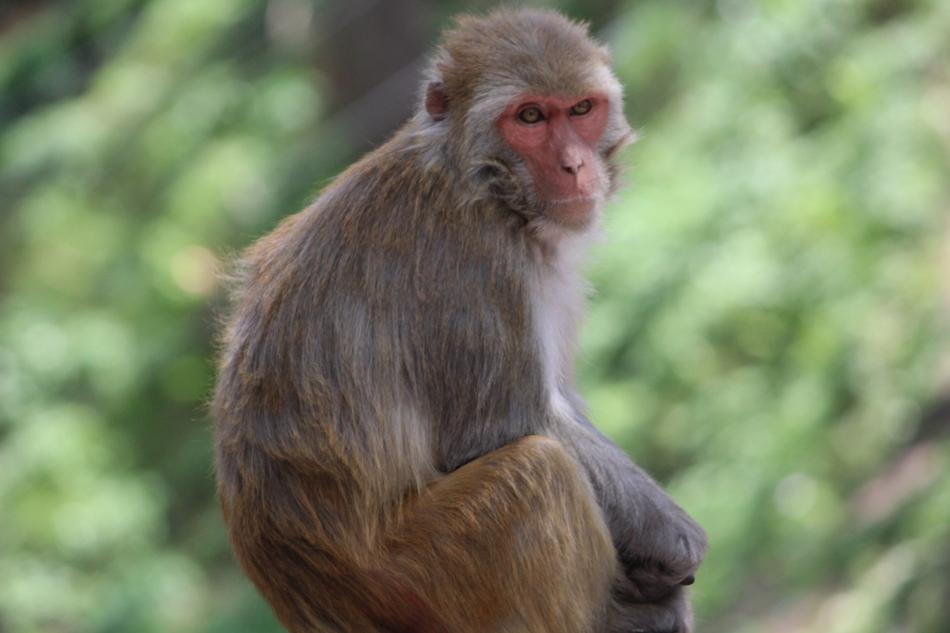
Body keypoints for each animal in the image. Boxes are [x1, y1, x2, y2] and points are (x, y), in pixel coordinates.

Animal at [213, 8, 706, 633]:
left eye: (581, 110)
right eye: (529, 117)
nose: (574, 166)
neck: (483, 180)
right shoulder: (472, 259)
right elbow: (507, 424)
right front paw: (672, 539)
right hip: (428, 575)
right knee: (538, 472)